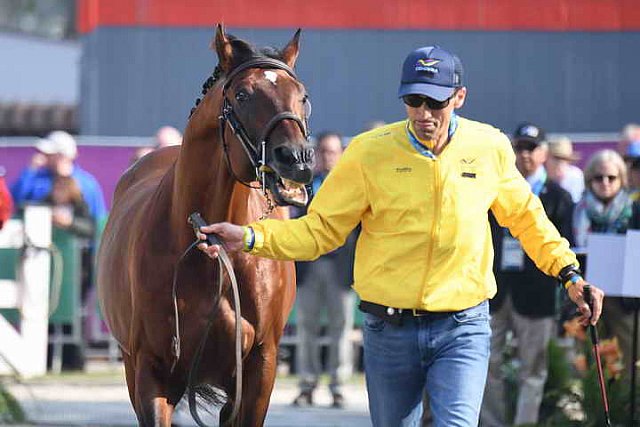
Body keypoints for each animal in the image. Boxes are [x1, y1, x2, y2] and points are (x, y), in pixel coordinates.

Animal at [97, 25, 316, 426]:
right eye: (242, 95)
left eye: (302, 96)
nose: (297, 159)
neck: (211, 259)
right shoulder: (151, 371)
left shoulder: (259, 369)